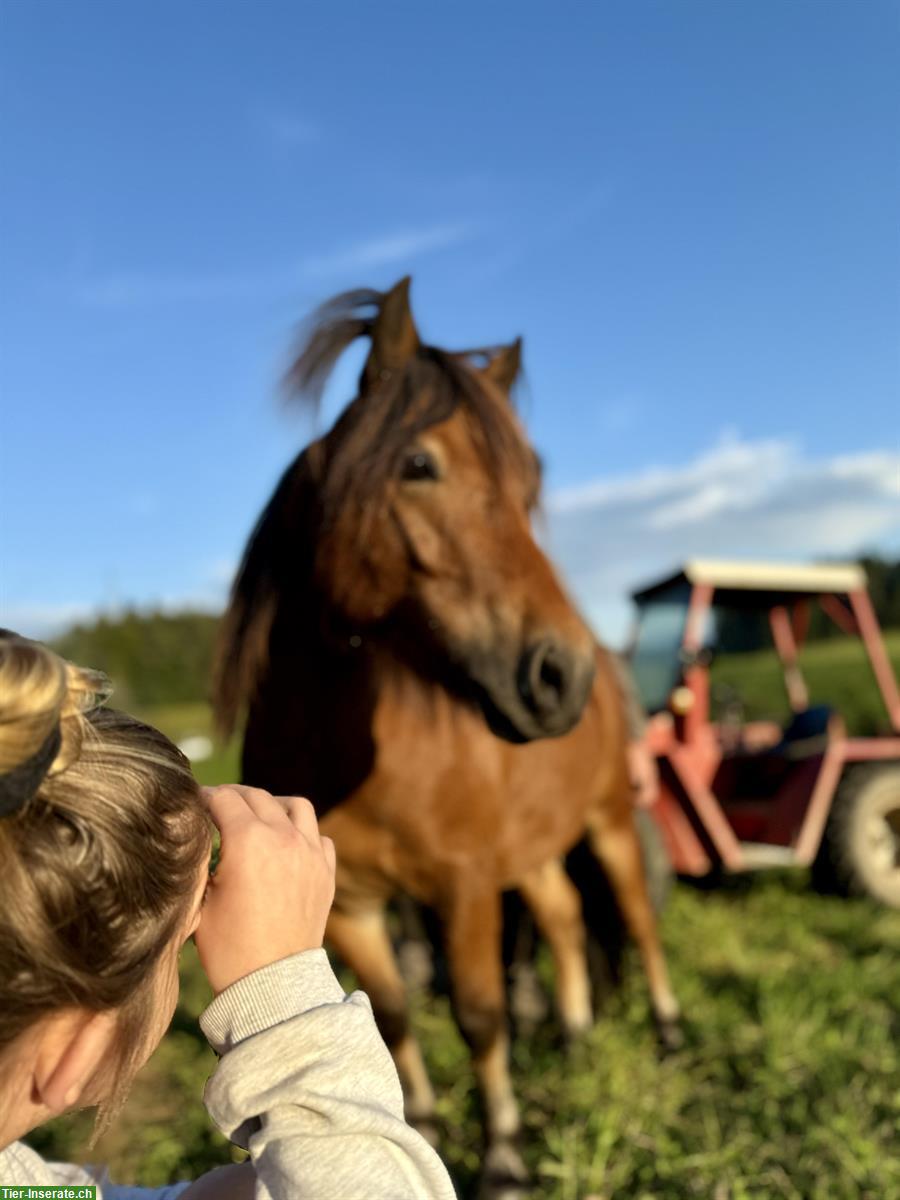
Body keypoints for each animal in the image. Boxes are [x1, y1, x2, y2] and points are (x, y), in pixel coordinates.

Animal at [217, 280, 681, 1190]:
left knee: (637, 920)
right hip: (533, 851)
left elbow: (478, 1013)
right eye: (419, 465)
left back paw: (669, 1028)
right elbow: (392, 1015)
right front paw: (418, 1121)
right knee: (564, 917)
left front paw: (502, 1155)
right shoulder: (355, 910)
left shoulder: (462, 892)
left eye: (529, 481)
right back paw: (576, 1035)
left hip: (609, 824)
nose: (560, 677)